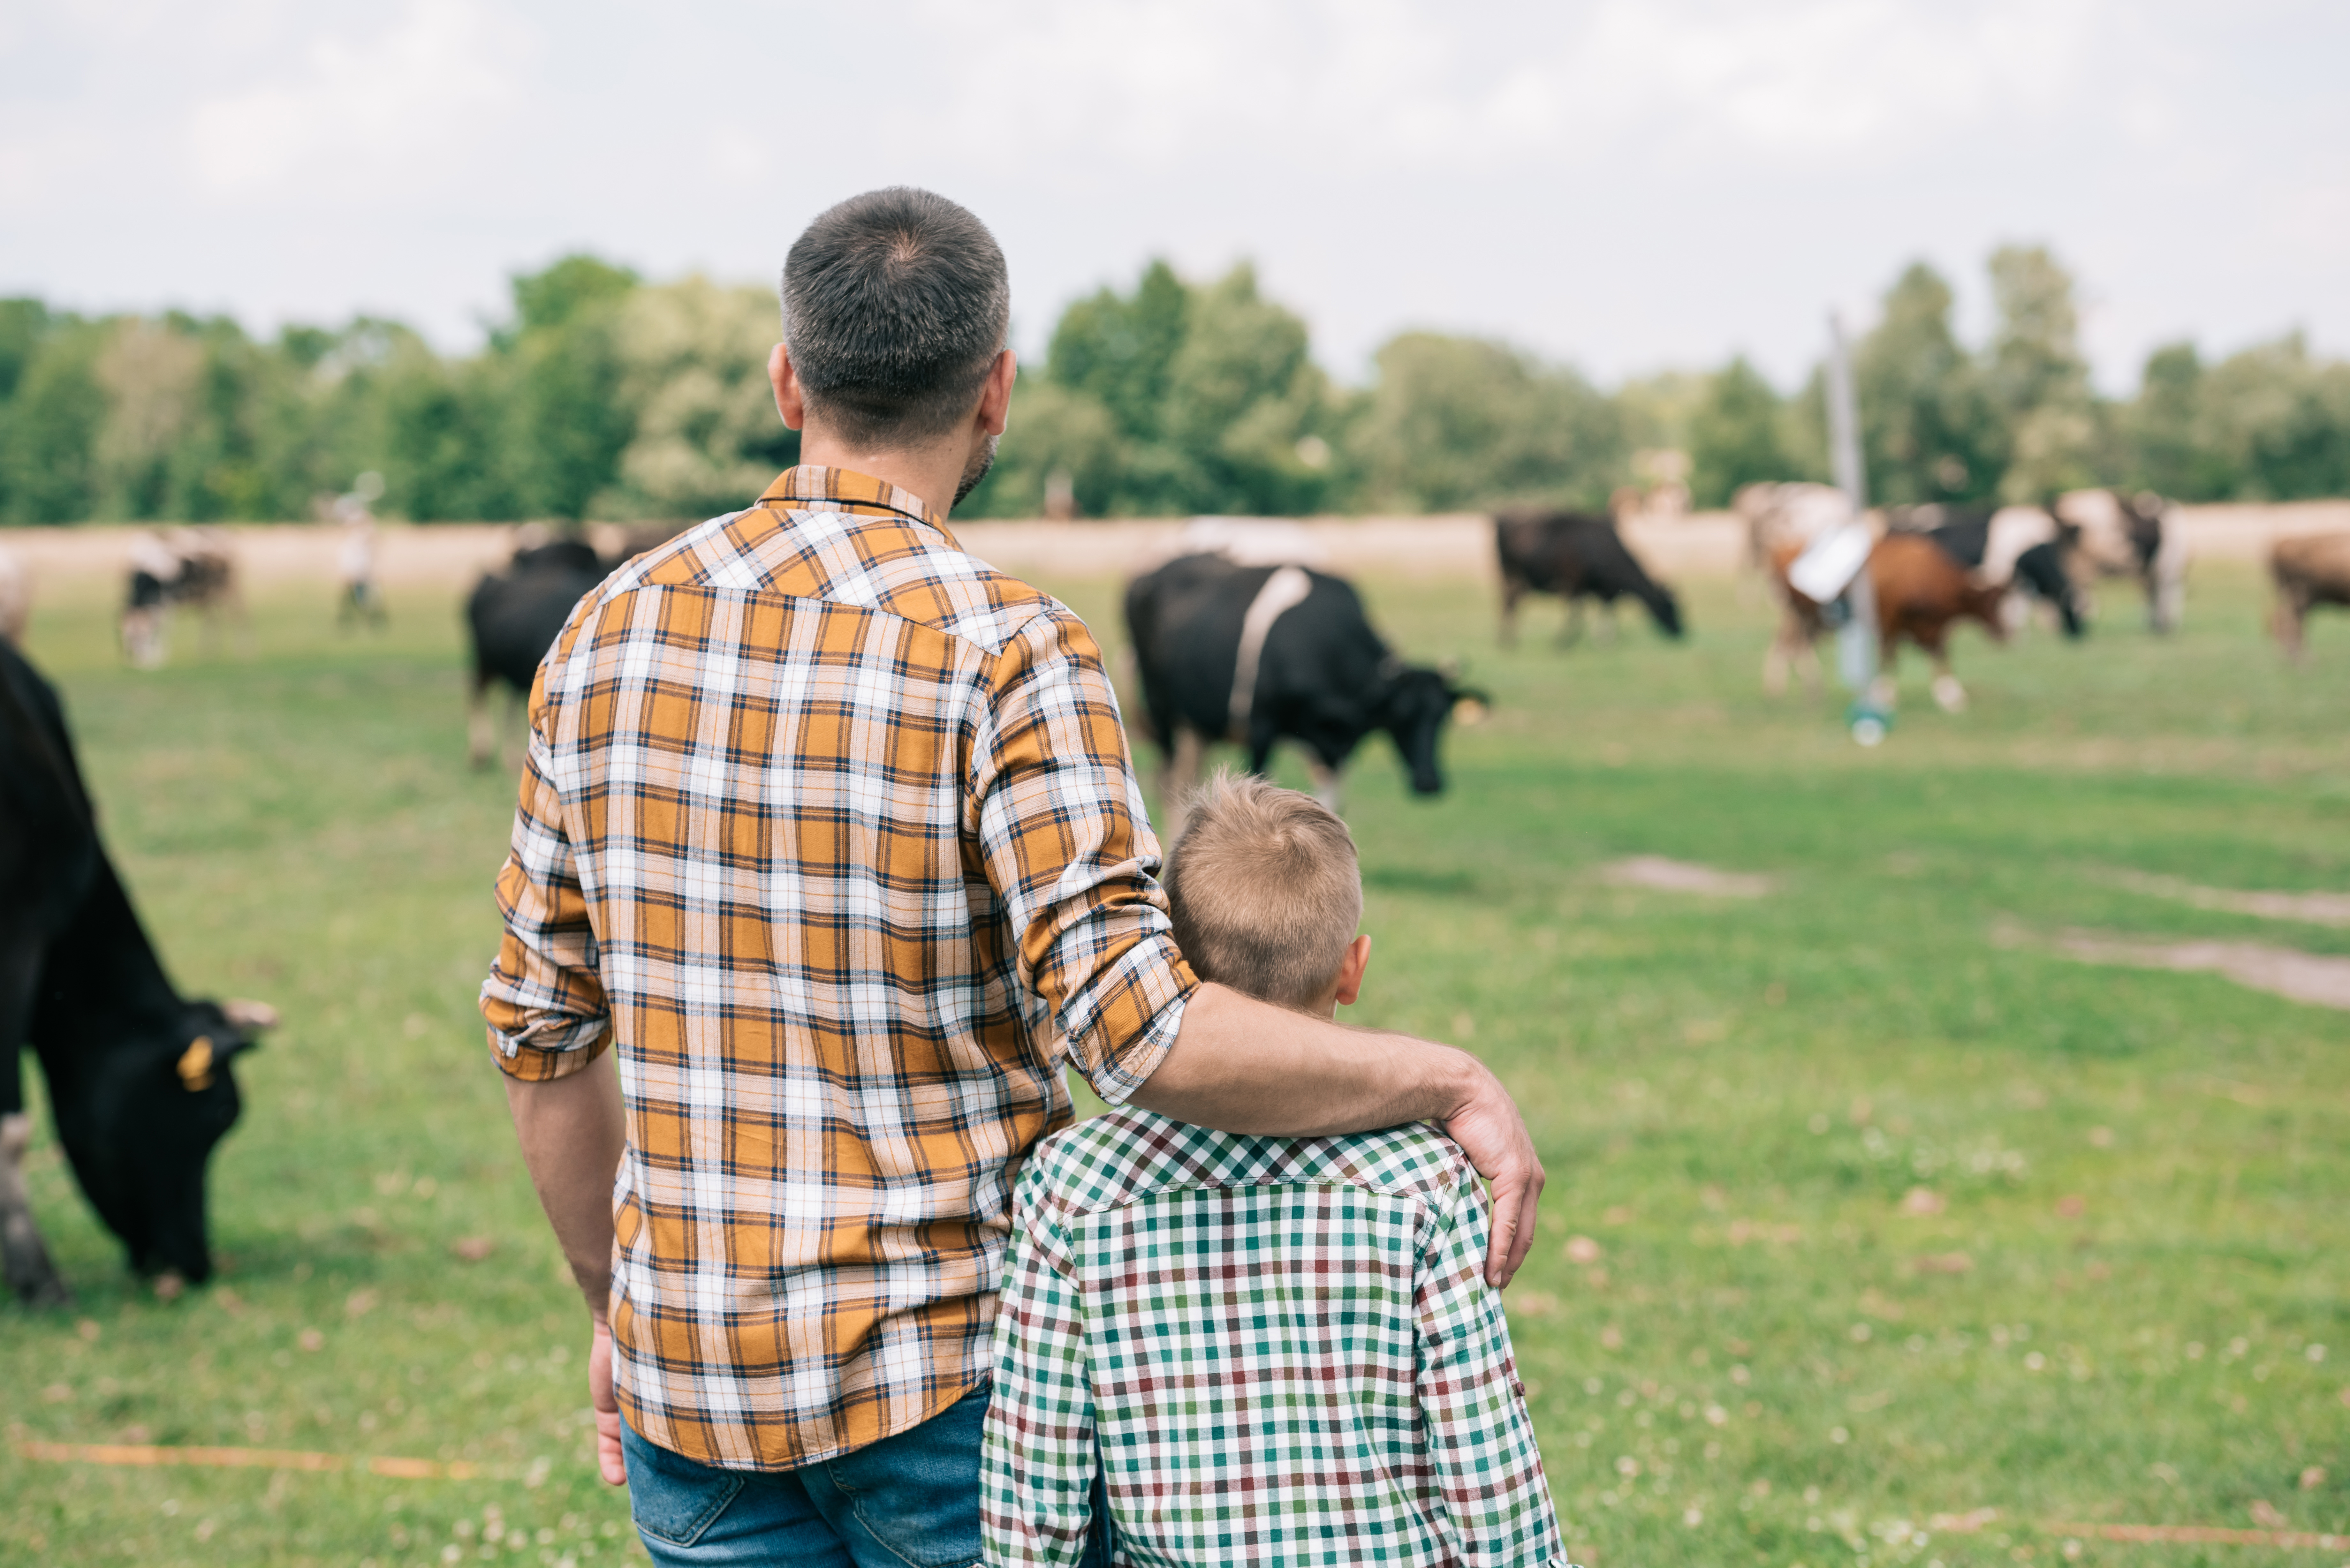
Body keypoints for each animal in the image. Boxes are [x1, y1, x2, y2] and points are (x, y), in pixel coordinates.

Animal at [1123, 554, 1485, 846]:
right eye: (1400, 714)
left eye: (1442, 716)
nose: (1430, 782)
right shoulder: (1263, 725)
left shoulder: (1337, 746)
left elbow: (1331, 805)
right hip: (1160, 709)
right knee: (1168, 780)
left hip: (1196, 725)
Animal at [1494, 510, 1682, 644]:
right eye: (1670, 608)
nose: (1681, 632)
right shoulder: (1575, 584)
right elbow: (1577, 615)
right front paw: (1564, 643)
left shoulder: (1604, 591)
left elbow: (1606, 613)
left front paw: (1603, 640)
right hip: (1512, 578)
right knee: (1508, 604)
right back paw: (1508, 642)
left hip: (1519, 582)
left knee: (1511, 604)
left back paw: (1509, 641)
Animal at [1767, 533, 2012, 719]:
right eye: (1990, 602)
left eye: (2002, 600)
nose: (2005, 632)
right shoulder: (1889, 621)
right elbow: (1890, 656)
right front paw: (1885, 697)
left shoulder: (1930, 628)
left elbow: (1939, 655)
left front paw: (1952, 697)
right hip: (1800, 617)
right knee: (1791, 649)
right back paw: (1788, 691)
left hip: (1812, 620)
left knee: (1794, 649)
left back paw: (1807, 693)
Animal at [2265, 533, 2350, 663]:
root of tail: (2283, 543)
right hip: (2299, 594)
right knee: (2294, 621)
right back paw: (2302, 659)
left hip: (2293, 595)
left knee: (2284, 618)